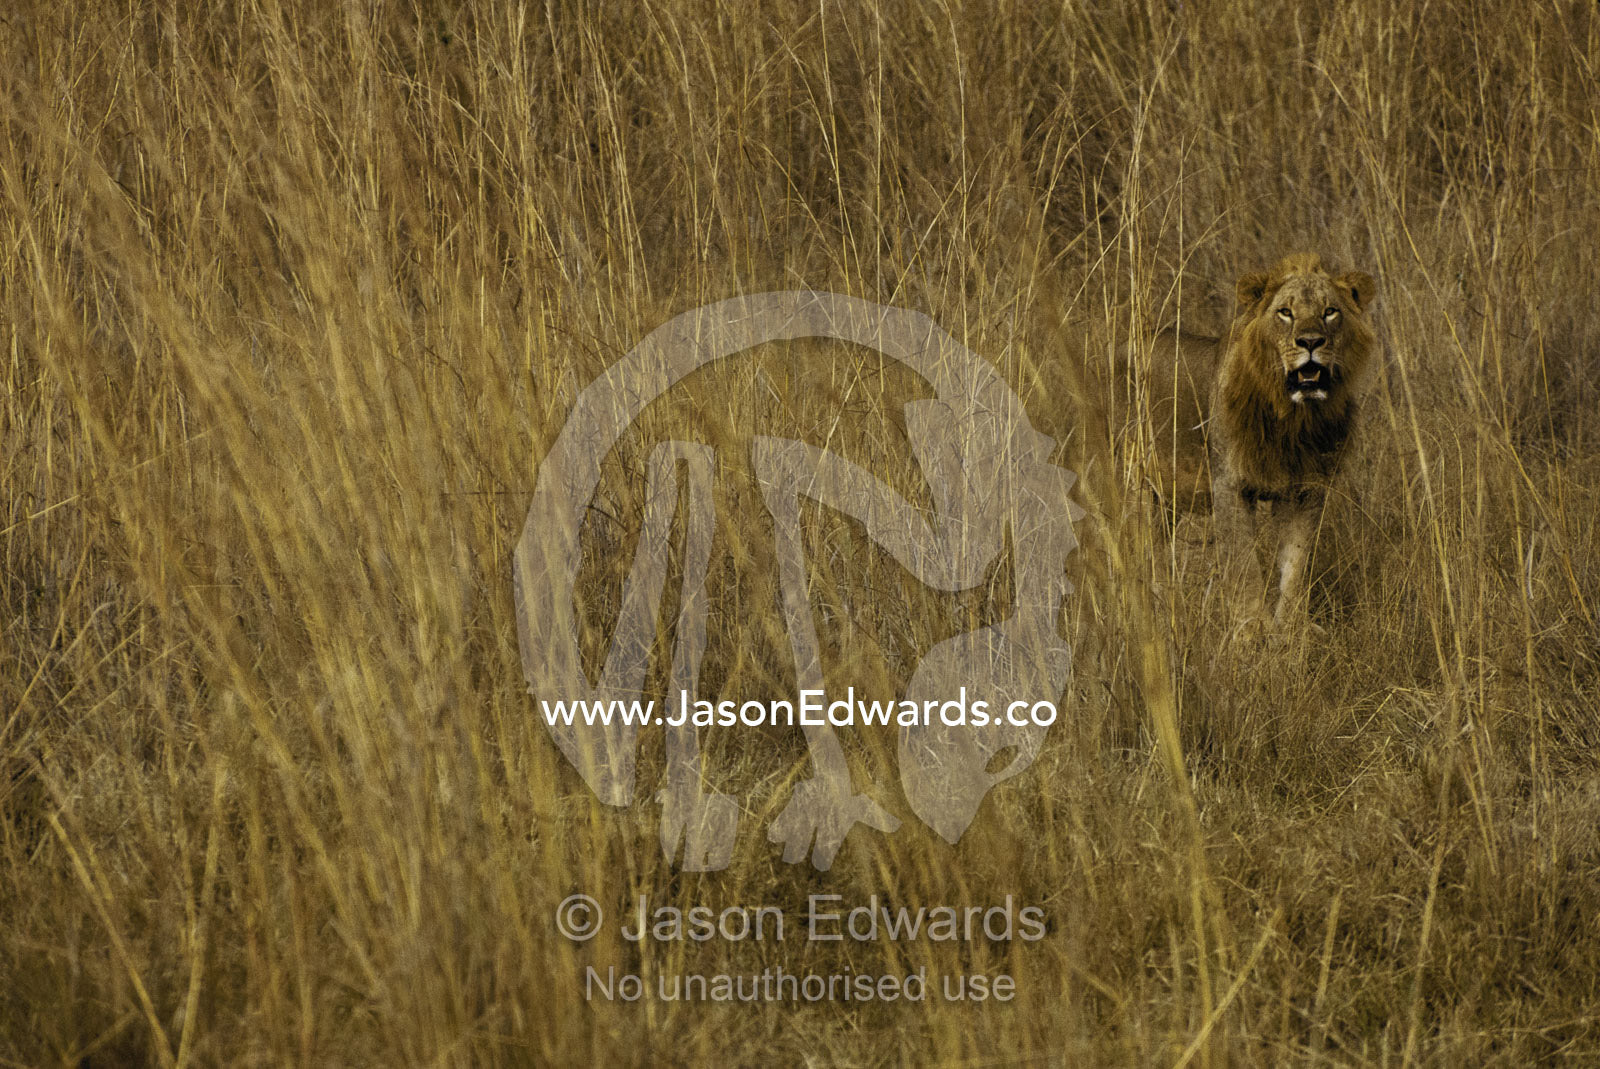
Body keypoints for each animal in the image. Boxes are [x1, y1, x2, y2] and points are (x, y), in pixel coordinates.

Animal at [1148, 253, 1379, 627]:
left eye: (1330, 311)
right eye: (1285, 312)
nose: (1311, 342)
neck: (1294, 419)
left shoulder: (1305, 490)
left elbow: (1295, 569)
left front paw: (1289, 631)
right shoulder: (1229, 485)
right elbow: (1246, 571)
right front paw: (1250, 632)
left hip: (1163, 501)